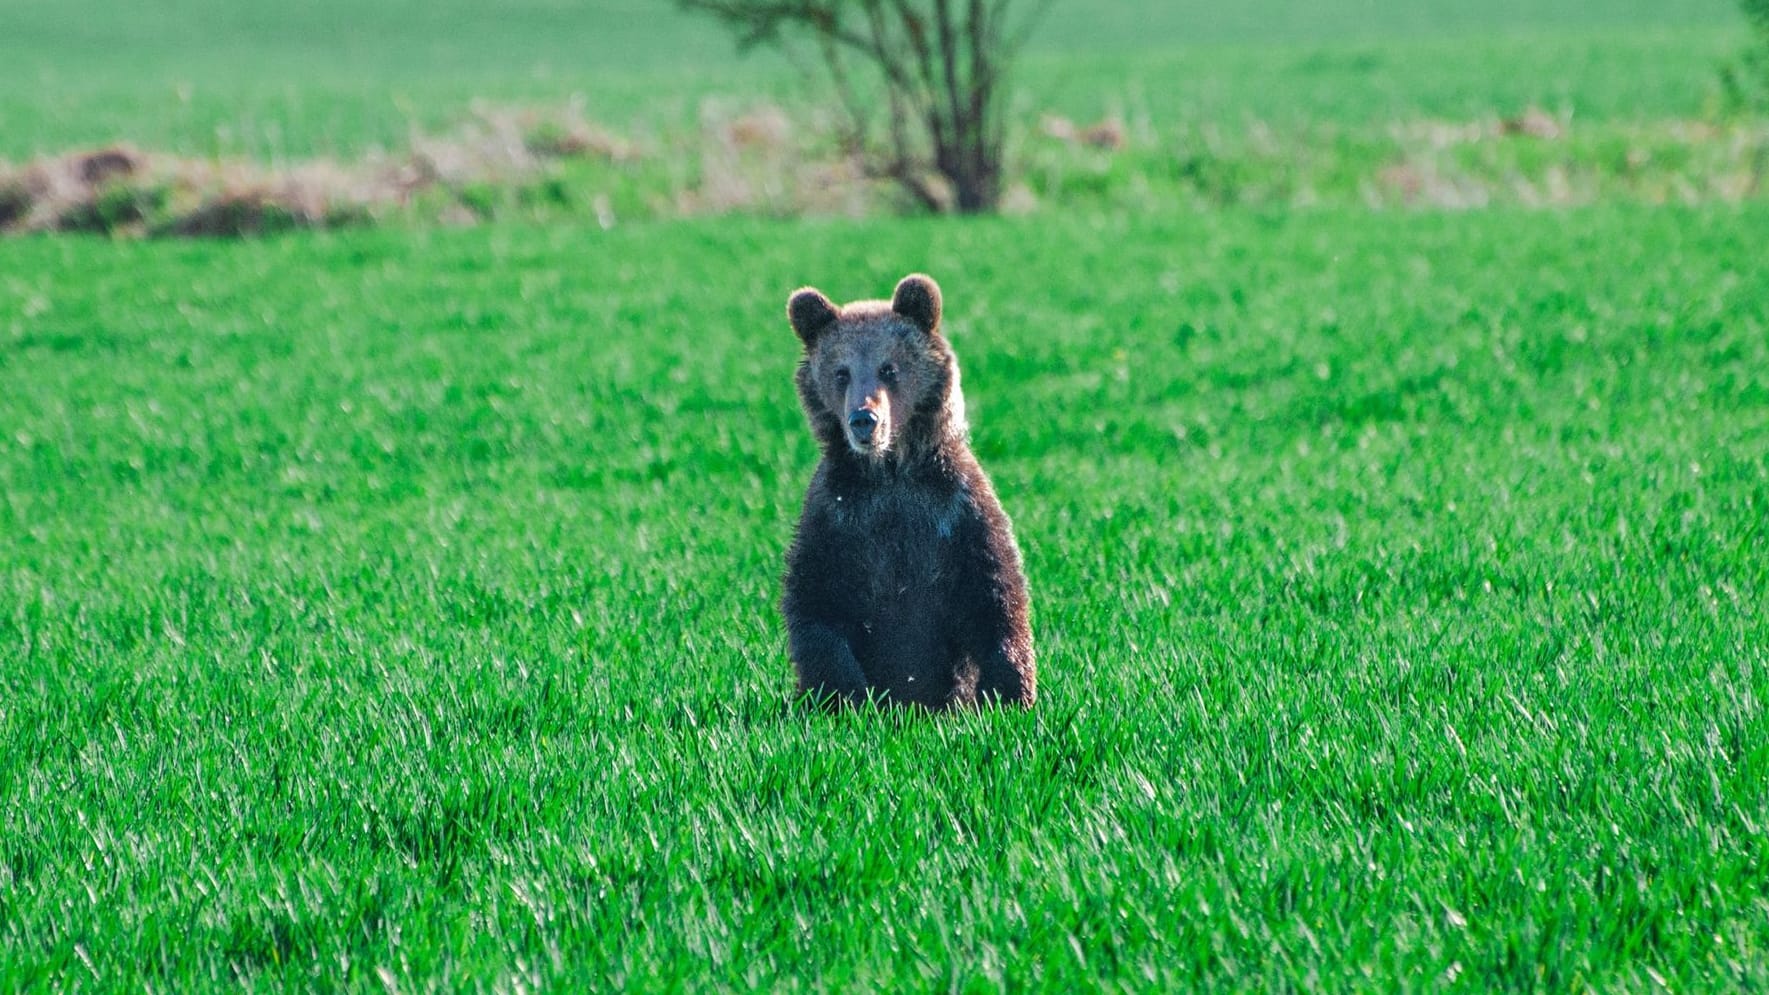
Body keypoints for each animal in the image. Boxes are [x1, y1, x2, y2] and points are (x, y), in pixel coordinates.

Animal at [778, 270, 1033, 704]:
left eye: (889, 368)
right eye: (841, 372)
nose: (864, 420)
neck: (890, 471)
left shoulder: (955, 508)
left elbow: (996, 591)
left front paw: (1008, 694)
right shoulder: (838, 515)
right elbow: (816, 601)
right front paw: (845, 695)